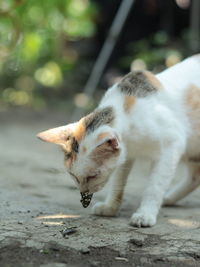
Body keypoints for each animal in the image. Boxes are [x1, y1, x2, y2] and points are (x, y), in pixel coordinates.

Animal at [36, 55, 200, 228]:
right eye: (73, 175)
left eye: (93, 176)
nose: (83, 192)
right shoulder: (125, 155)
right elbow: (118, 181)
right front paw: (110, 207)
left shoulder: (172, 145)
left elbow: (155, 185)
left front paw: (145, 214)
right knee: (195, 176)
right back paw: (168, 198)